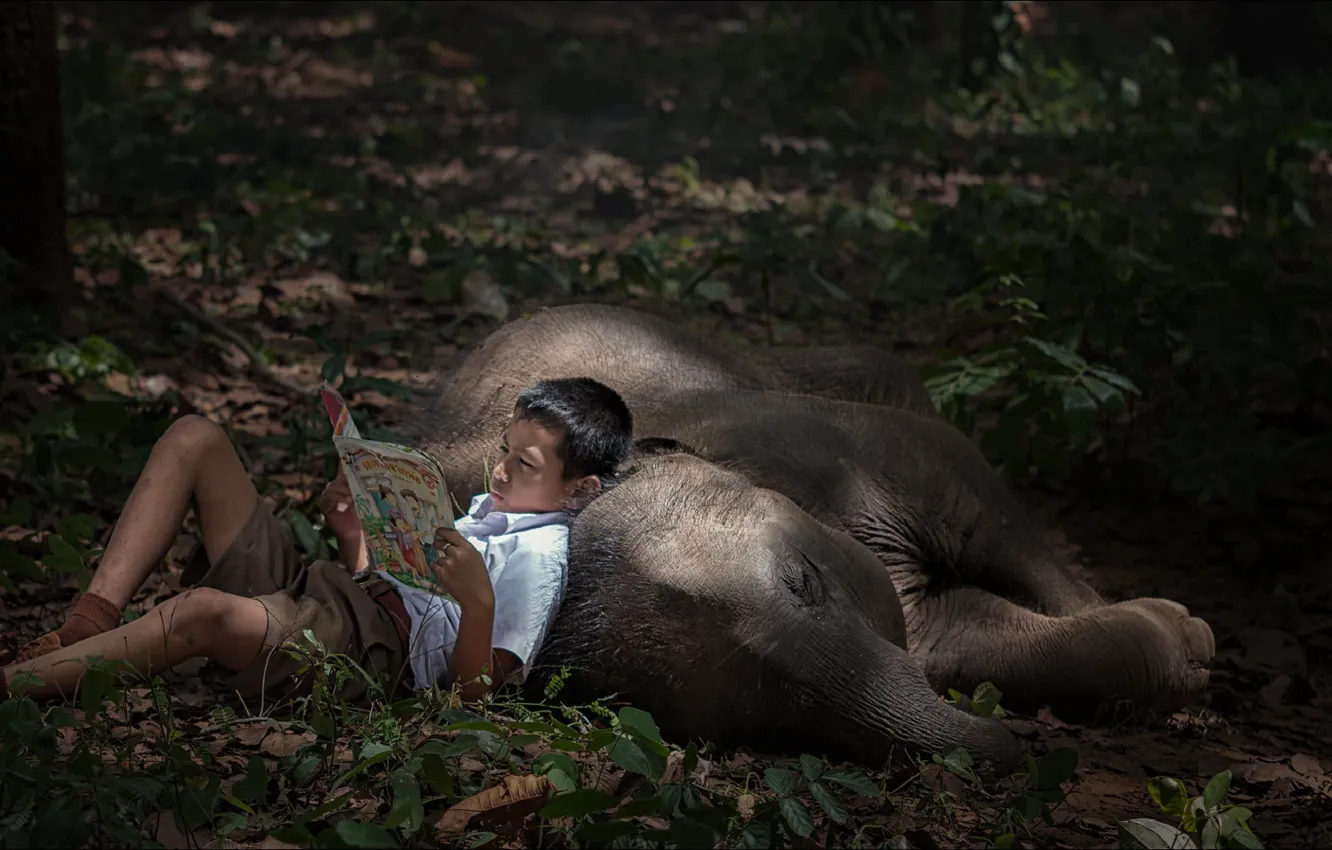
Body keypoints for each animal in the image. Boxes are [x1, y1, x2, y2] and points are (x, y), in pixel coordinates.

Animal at [406, 304, 1215, 765]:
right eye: (756, 717)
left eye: (805, 582)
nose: (1019, 748)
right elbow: (957, 637)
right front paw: (1179, 641)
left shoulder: (823, 440)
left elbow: (968, 488)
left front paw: (1191, 635)